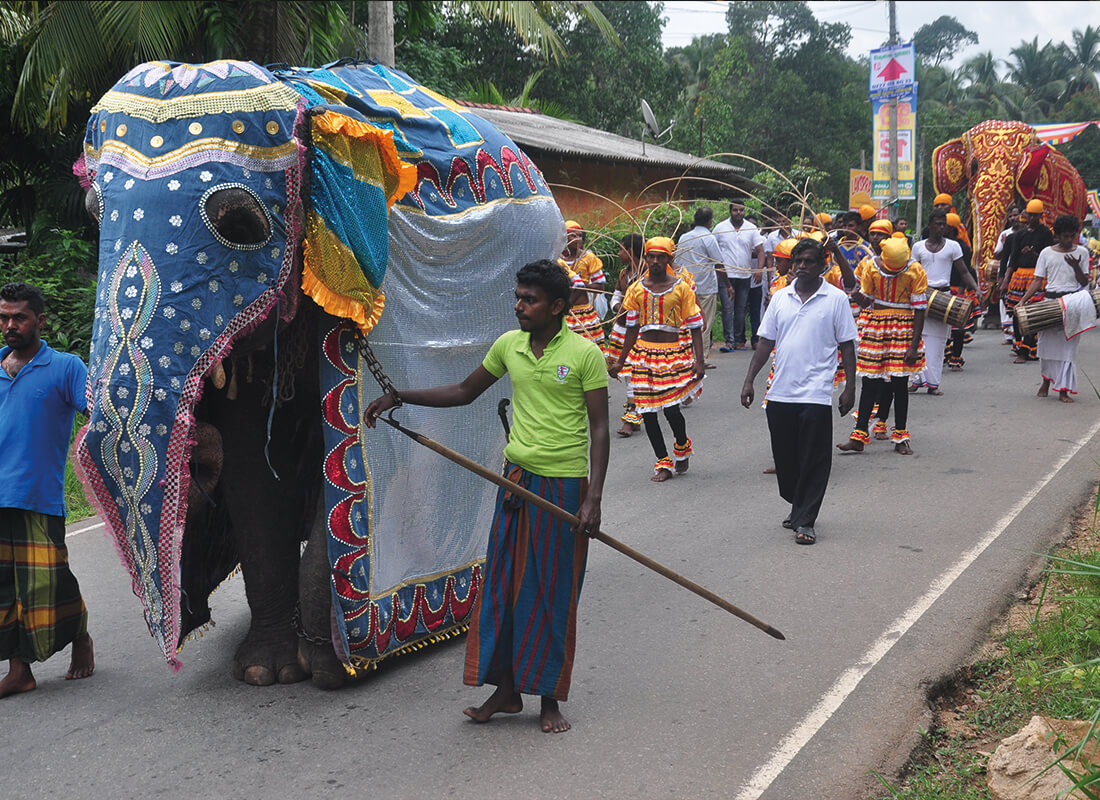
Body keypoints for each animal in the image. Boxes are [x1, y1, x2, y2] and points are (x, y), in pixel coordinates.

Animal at [73, 61, 563, 686]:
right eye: (93, 213)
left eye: (239, 222)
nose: (194, 445)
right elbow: (253, 472)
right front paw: (267, 670)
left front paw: (329, 661)